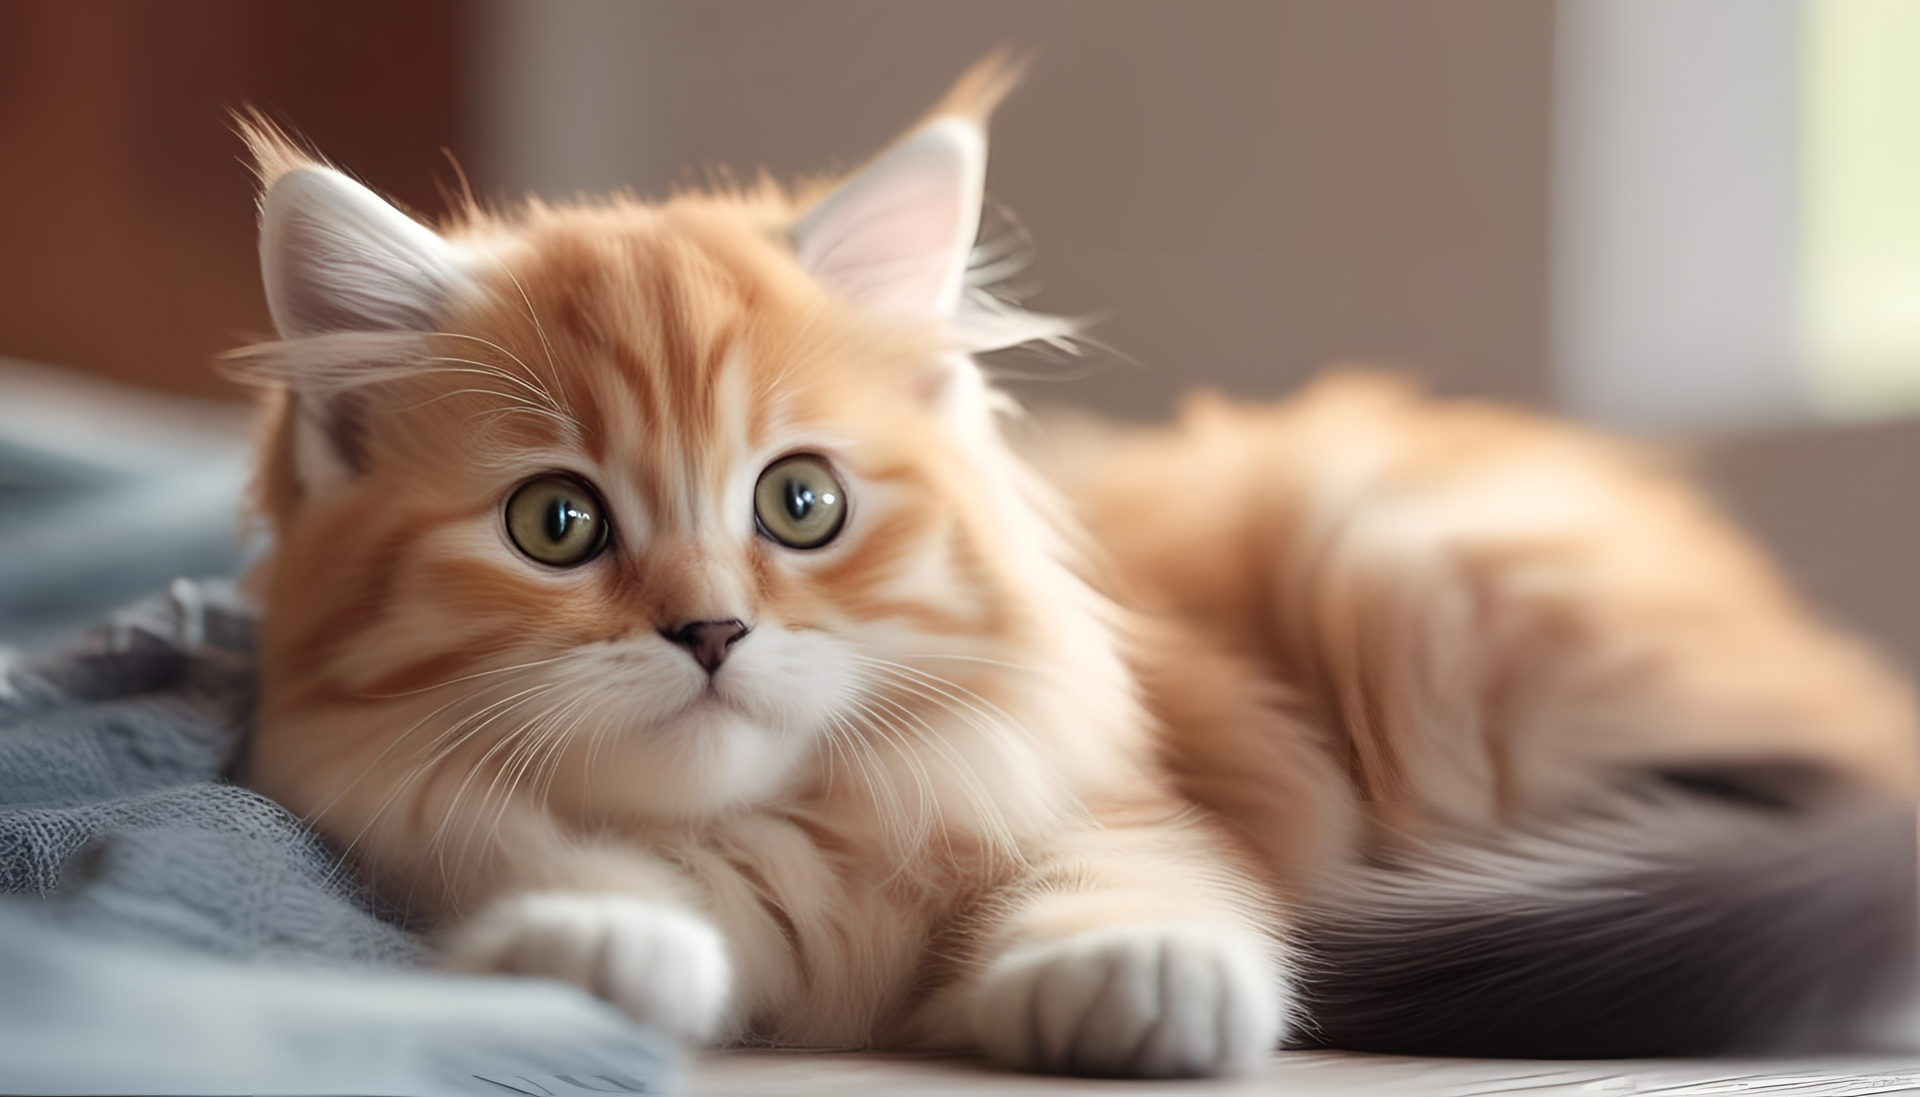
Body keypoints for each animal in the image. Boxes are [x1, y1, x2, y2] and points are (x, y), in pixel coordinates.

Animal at [236, 55, 1920, 1075]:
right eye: (557, 525)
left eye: (799, 504)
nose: (710, 631)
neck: (779, 841)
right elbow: (565, 866)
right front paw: (591, 940)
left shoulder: (1116, 784)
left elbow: (1138, 874)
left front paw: (1134, 977)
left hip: (1398, 563)